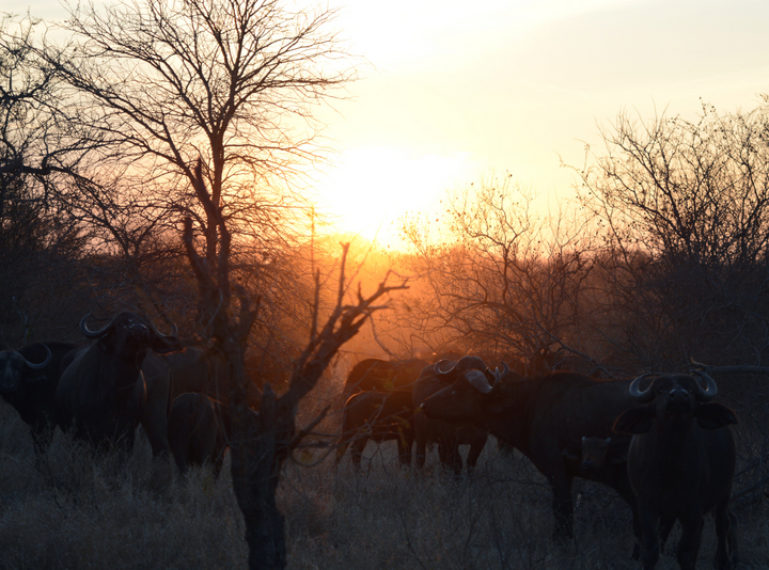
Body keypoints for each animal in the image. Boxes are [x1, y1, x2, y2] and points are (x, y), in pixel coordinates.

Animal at [57, 310, 180, 448]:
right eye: (121, 323)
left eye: (147, 325)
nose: (140, 329)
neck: (115, 392)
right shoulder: (85, 431)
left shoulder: (126, 433)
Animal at [420, 356, 636, 536]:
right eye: (453, 381)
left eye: (459, 388)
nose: (424, 404)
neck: (529, 405)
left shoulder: (556, 469)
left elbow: (562, 511)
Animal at [612, 370, 736, 568]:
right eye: (661, 390)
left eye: (691, 390)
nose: (678, 395)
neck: (669, 463)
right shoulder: (646, 506)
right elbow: (651, 549)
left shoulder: (692, 508)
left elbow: (685, 552)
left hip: (725, 492)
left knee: (722, 525)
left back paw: (723, 561)